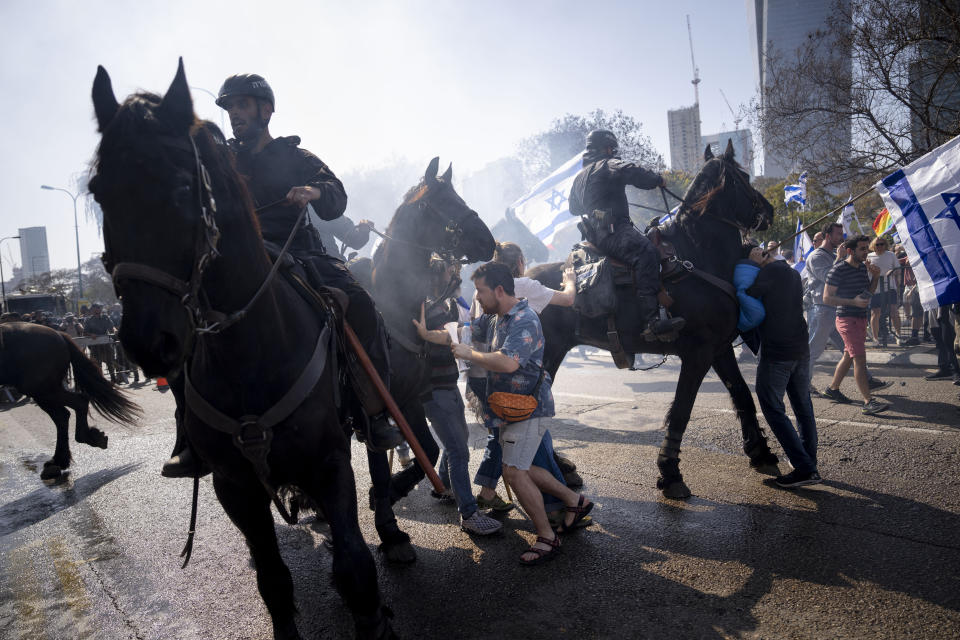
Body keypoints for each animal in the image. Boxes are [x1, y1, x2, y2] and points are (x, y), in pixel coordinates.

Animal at [0, 322, 139, 478]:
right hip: (43, 391)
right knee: (62, 415)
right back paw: (60, 460)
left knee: (76, 404)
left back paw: (82, 441)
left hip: (41, 389)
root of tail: (59, 334)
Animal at [94, 61, 398, 640]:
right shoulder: (234, 486)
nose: (147, 341)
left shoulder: (330, 461)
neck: (251, 353)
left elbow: (354, 566)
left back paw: (393, 532)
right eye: (99, 191)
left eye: (182, 185)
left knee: (380, 456)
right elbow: (274, 581)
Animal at [528, 144, 784, 500]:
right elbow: (681, 409)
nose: (769, 211)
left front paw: (761, 452)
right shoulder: (697, 353)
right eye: (743, 177)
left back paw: (561, 467)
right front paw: (670, 472)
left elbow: (742, 395)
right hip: (546, 354)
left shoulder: (720, 349)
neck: (697, 257)